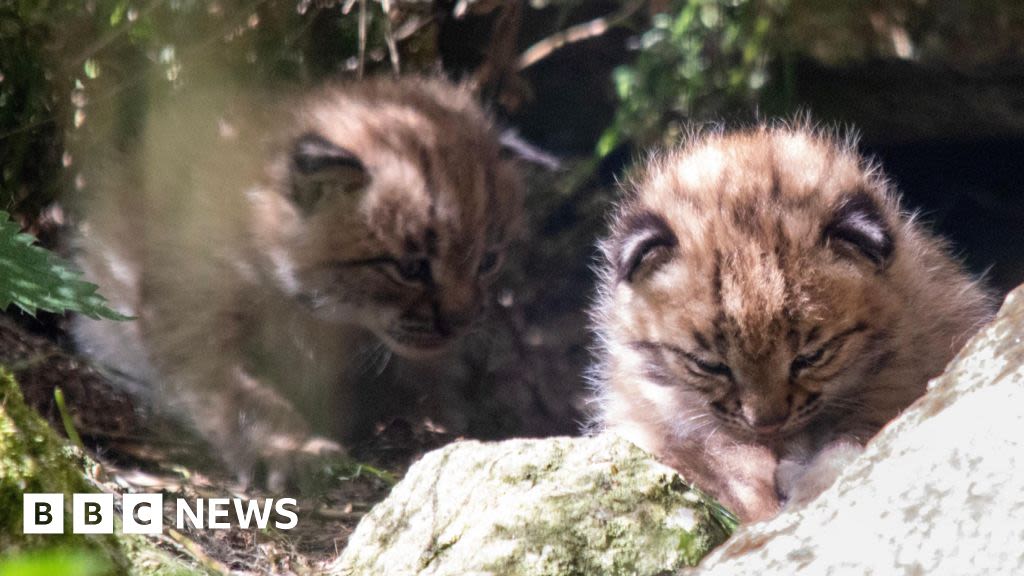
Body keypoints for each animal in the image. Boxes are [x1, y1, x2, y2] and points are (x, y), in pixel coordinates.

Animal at [74, 76, 520, 485]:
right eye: (411, 268)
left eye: (488, 261)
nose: (461, 322)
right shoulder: (191, 314)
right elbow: (238, 389)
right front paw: (289, 448)